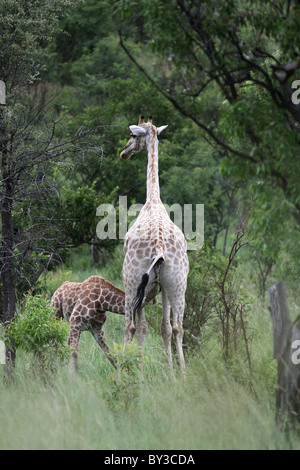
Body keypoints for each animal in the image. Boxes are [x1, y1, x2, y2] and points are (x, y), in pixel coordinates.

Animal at [120, 114, 189, 370]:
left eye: (133, 135)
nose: (124, 152)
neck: (153, 201)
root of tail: (159, 248)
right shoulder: (163, 286)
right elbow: (165, 329)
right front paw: (169, 372)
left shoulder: (144, 286)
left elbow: (142, 329)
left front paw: (139, 369)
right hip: (178, 283)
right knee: (178, 328)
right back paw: (183, 373)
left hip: (131, 282)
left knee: (129, 326)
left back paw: (123, 371)